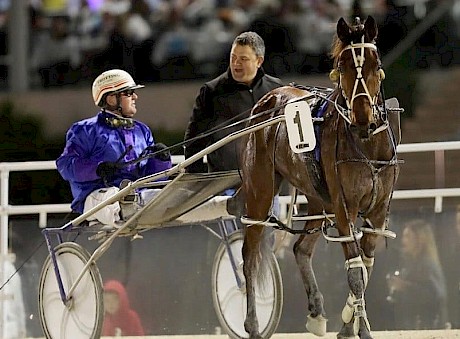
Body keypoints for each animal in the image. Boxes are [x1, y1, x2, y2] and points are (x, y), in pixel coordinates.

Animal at [239, 16, 400, 339]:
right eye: (342, 65)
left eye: (376, 64)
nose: (363, 120)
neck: (365, 143)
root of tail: (267, 100)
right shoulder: (344, 208)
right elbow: (356, 274)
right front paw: (360, 328)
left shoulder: (376, 214)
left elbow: (365, 267)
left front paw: (350, 325)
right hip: (260, 192)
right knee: (249, 254)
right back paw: (253, 325)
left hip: (317, 198)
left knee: (301, 248)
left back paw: (315, 312)